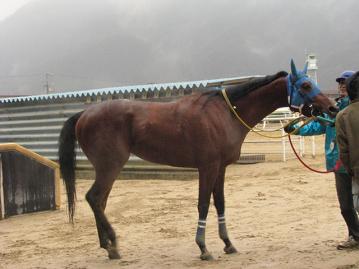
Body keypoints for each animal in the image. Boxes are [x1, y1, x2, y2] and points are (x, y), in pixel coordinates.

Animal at [59, 61, 340, 260]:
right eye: (305, 86)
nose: (332, 107)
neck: (225, 113)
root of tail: (84, 113)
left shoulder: (221, 168)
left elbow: (220, 203)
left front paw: (228, 243)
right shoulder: (207, 167)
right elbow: (203, 205)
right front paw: (204, 247)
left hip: (107, 169)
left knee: (99, 202)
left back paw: (107, 245)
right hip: (110, 166)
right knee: (95, 198)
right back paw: (113, 245)